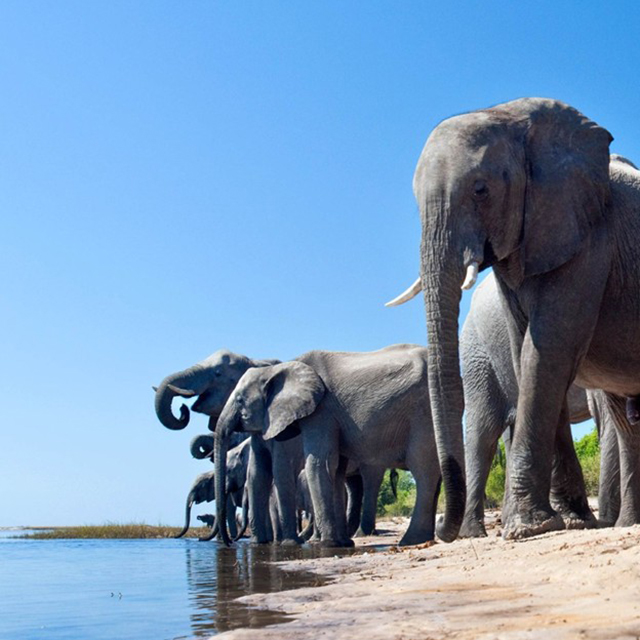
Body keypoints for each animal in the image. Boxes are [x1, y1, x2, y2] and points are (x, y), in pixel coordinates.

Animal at [214, 345, 441, 547]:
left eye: (239, 400)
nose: (229, 543)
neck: (281, 368)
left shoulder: (321, 411)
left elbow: (318, 463)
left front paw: (324, 544)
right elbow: (335, 469)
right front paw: (343, 543)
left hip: (422, 413)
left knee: (422, 470)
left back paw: (410, 540)